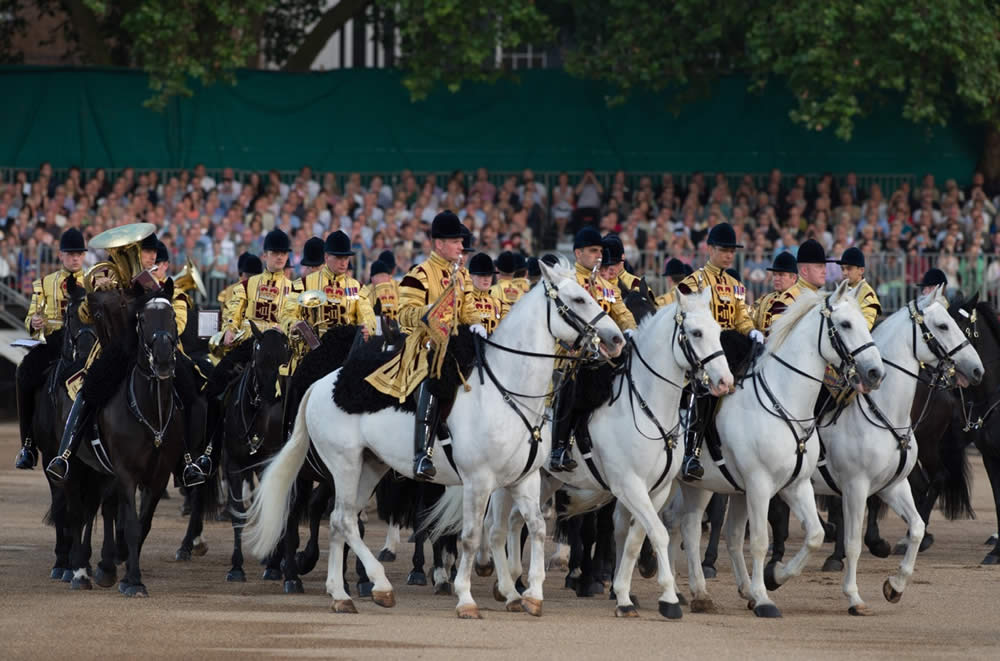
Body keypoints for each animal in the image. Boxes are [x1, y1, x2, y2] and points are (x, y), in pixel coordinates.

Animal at [243, 255, 624, 616]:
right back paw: (376, 584)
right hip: (344, 465)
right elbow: (470, 536)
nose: (616, 339)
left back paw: (342, 595)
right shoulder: (477, 481)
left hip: (370, 466)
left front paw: (528, 597)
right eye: (578, 299)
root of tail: (322, 384)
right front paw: (466, 599)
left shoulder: (524, 479)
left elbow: (536, 528)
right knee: (343, 520)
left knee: (341, 520)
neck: (508, 392)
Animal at [484, 288, 736, 620]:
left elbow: (635, 540)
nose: (725, 382)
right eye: (695, 333)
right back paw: (507, 584)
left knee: (517, 520)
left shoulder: (656, 490)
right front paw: (668, 599)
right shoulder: (629, 485)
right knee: (499, 526)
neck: (648, 409)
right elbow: (658, 533)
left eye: (719, 332)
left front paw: (624, 597)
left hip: (547, 480)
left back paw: (517, 581)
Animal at [672, 282, 884, 616]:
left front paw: (774, 578)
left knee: (689, 527)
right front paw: (763, 598)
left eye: (865, 321)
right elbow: (759, 540)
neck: (784, 399)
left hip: (700, 485)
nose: (875, 372)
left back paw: (699, 594)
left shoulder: (796, 485)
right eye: (846, 324)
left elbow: (815, 535)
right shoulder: (759, 485)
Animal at [812, 286, 984, 616]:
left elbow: (914, 525)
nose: (978, 369)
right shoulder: (854, 485)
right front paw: (853, 590)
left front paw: (895, 584)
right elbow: (852, 538)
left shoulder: (889, 483)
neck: (882, 410)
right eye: (943, 326)